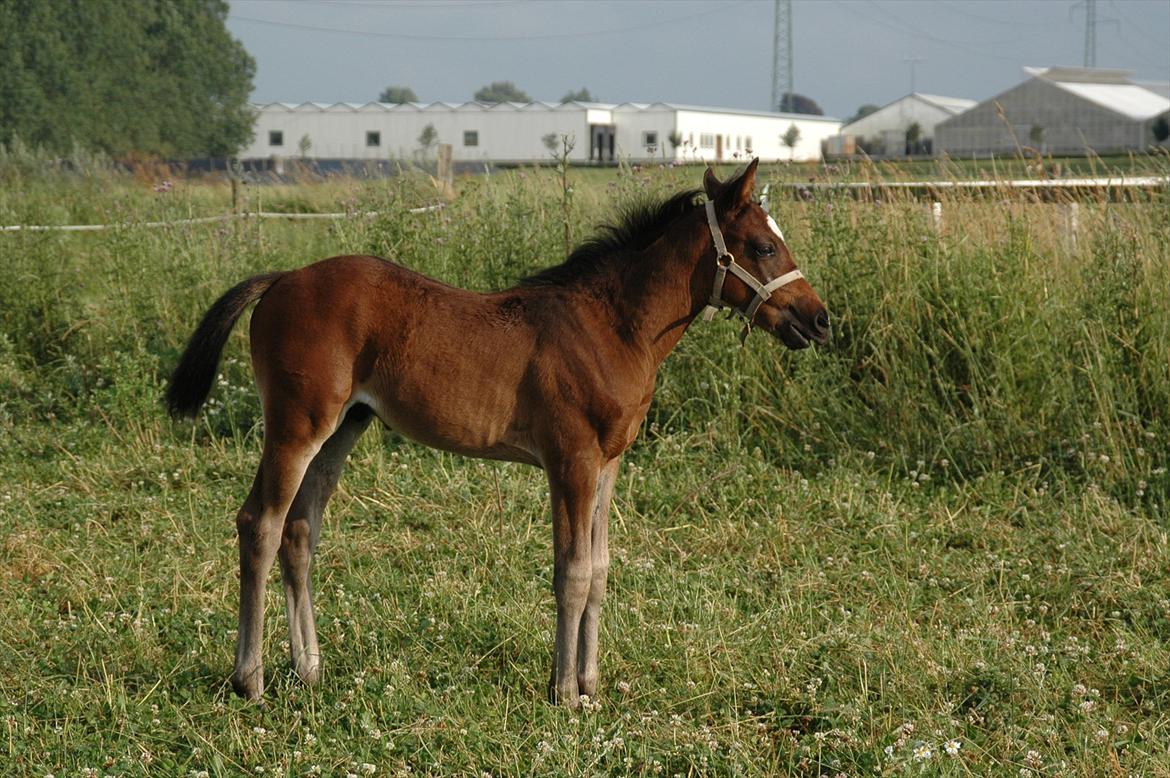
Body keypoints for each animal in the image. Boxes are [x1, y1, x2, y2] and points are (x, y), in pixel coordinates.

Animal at [167, 160, 833, 706]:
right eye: (763, 247)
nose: (819, 319)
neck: (612, 326)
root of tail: (281, 279)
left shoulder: (609, 463)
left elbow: (601, 569)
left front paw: (591, 684)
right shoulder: (571, 460)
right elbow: (572, 572)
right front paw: (565, 693)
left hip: (342, 428)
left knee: (301, 530)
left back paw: (309, 669)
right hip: (296, 424)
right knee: (260, 523)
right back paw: (249, 679)